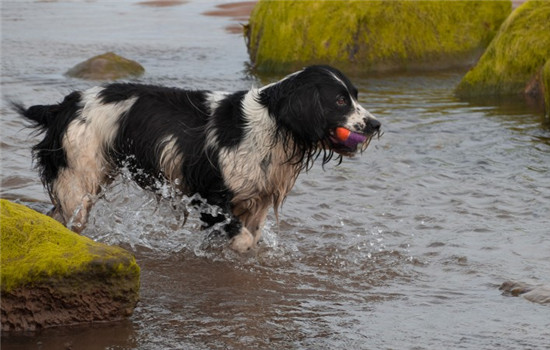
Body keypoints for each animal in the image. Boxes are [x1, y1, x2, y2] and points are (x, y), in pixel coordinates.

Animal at [14, 65, 384, 252]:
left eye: (355, 95)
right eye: (339, 101)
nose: (375, 124)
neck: (271, 123)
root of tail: (64, 105)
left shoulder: (256, 199)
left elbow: (252, 236)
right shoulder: (211, 195)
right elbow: (242, 239)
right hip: (79, 180)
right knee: (69, 219)